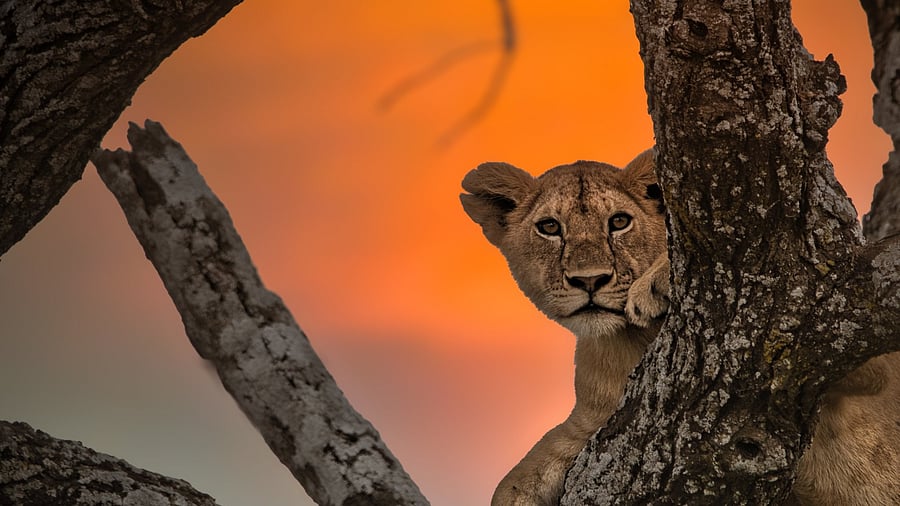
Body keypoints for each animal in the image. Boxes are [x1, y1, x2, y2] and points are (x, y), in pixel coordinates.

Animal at [460, 149, 900, 505]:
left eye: (619, 222)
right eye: (550, 227)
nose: (589, 280)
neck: (628, 341)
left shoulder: (847, 338)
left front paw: (659, 282)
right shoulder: (590, 419)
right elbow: (522, 473)